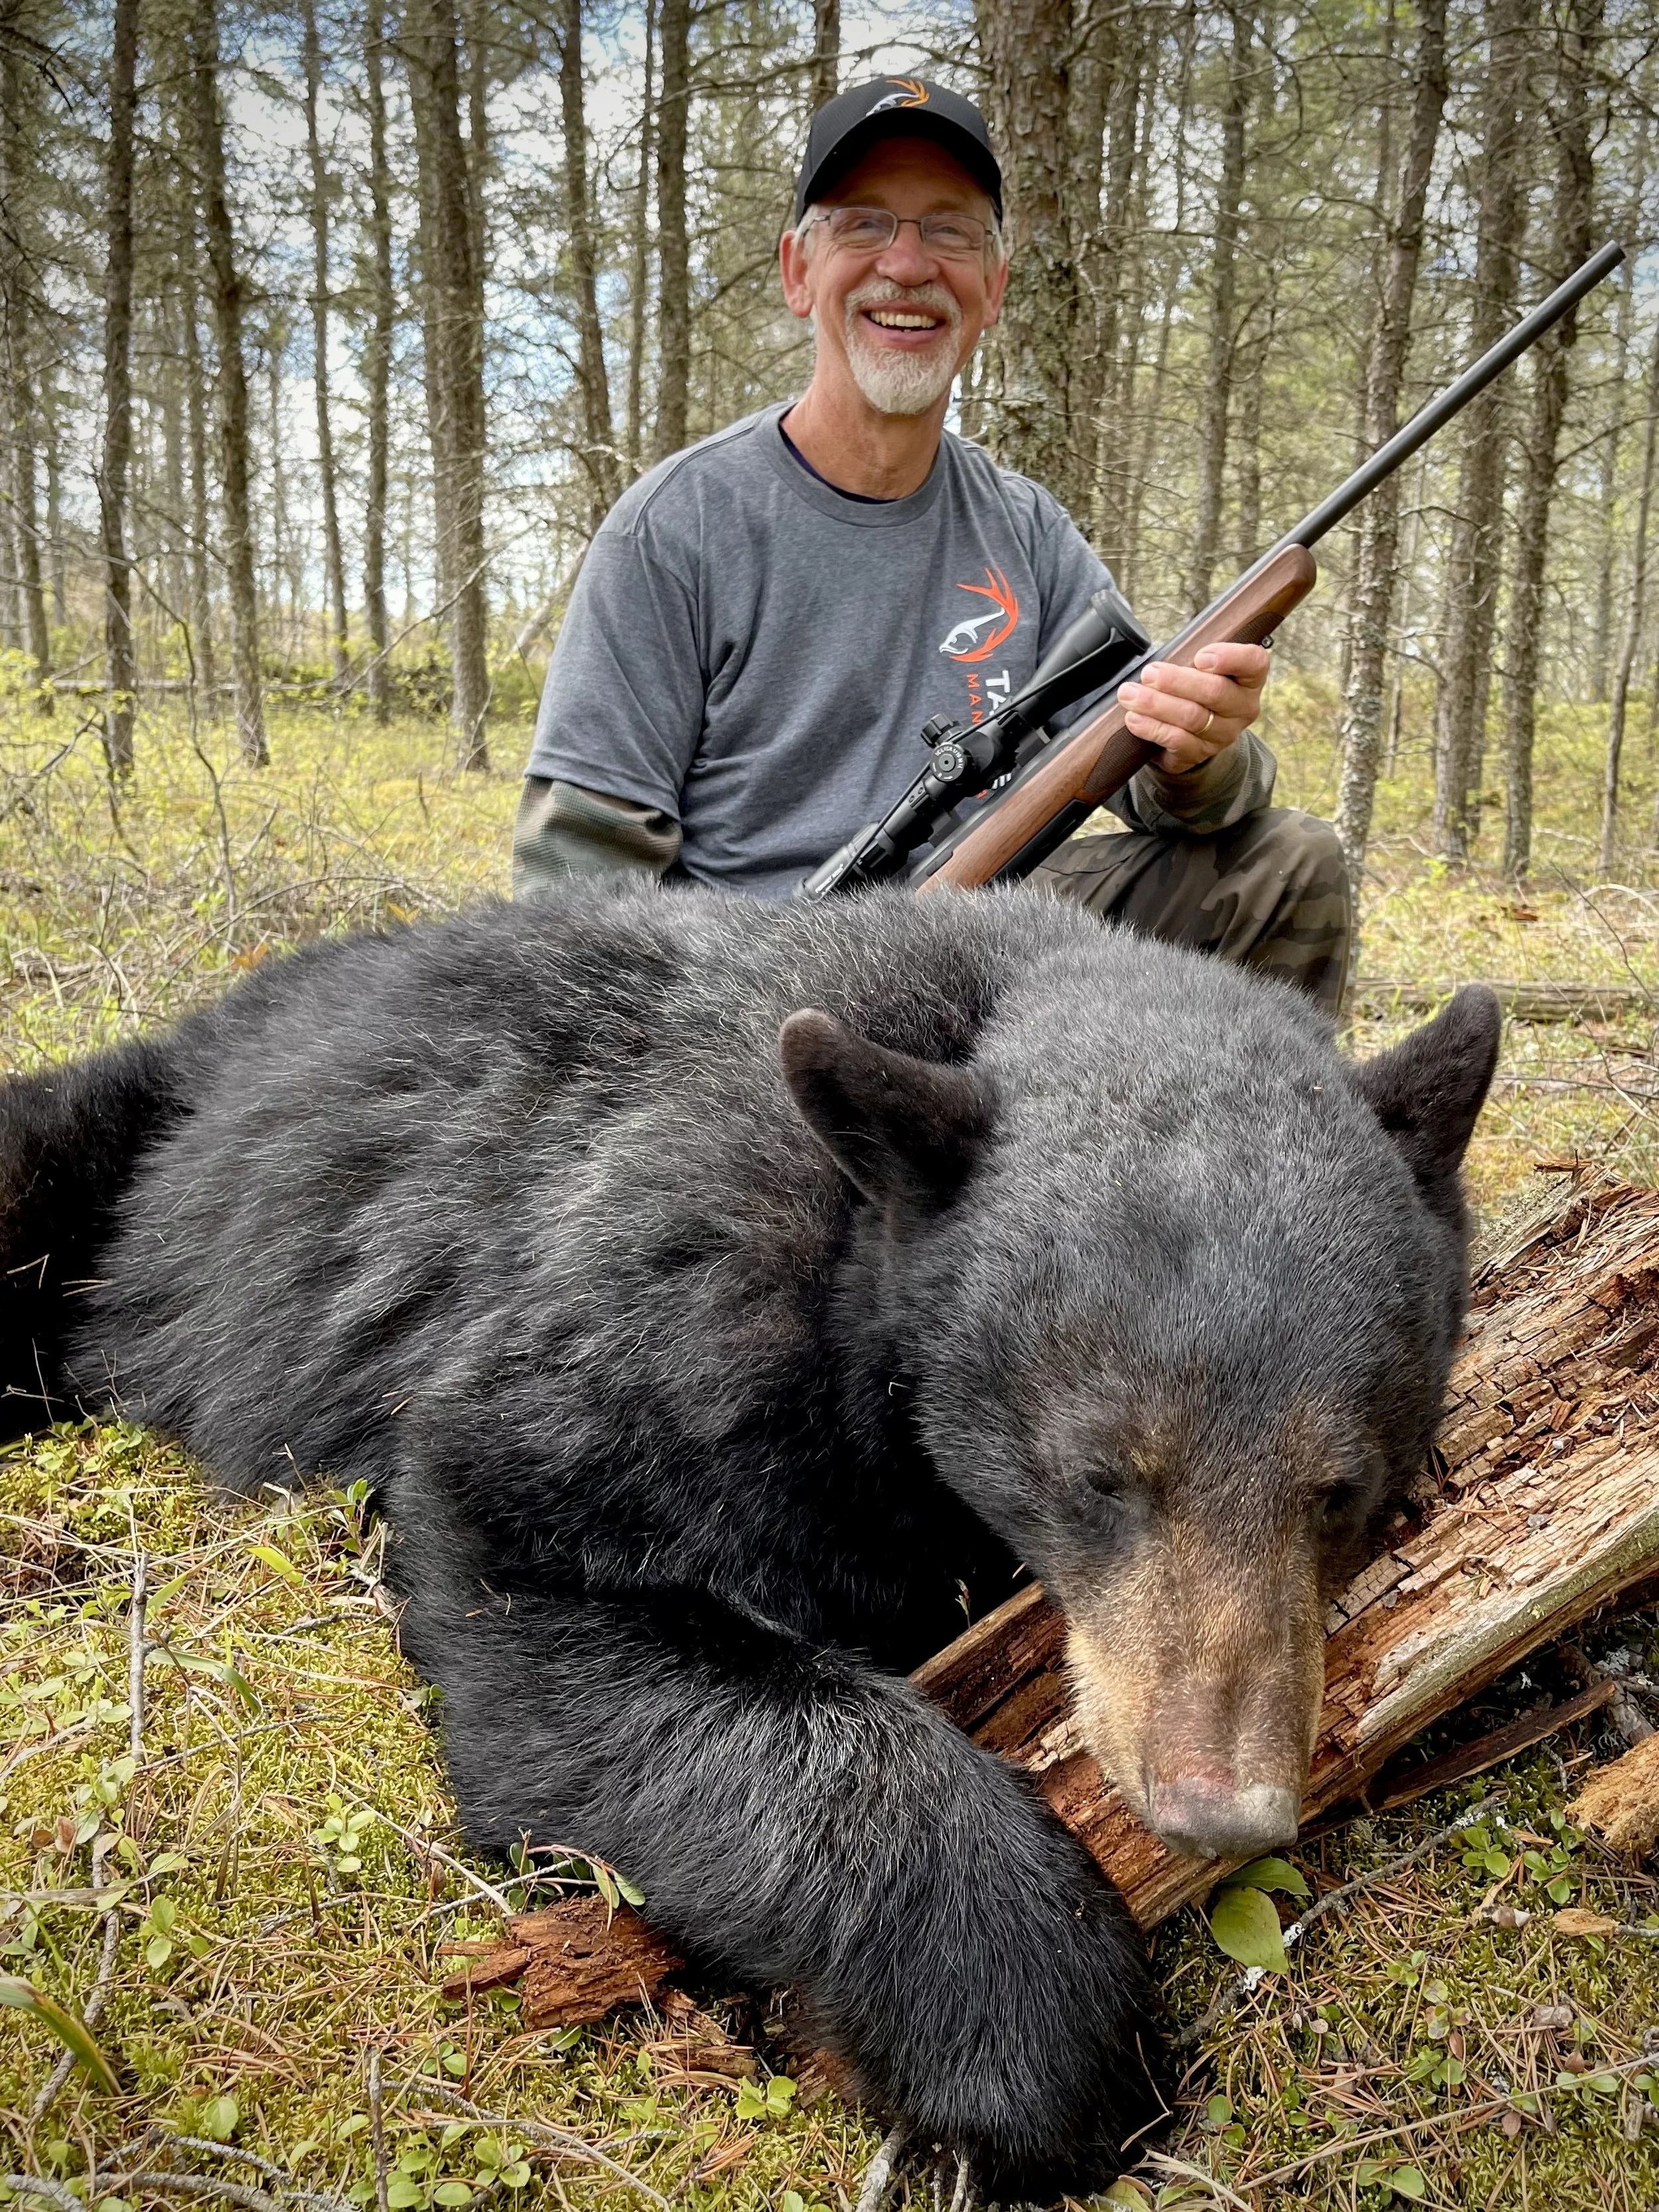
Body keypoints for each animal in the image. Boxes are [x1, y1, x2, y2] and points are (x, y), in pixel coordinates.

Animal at [0, 883, 1500, 2200]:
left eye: (1337, 1486)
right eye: (1099, 1473)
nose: (1219, 1803)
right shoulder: (674, 1308)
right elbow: (534, 1566)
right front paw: (1039, 2040)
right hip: (136, 1147)